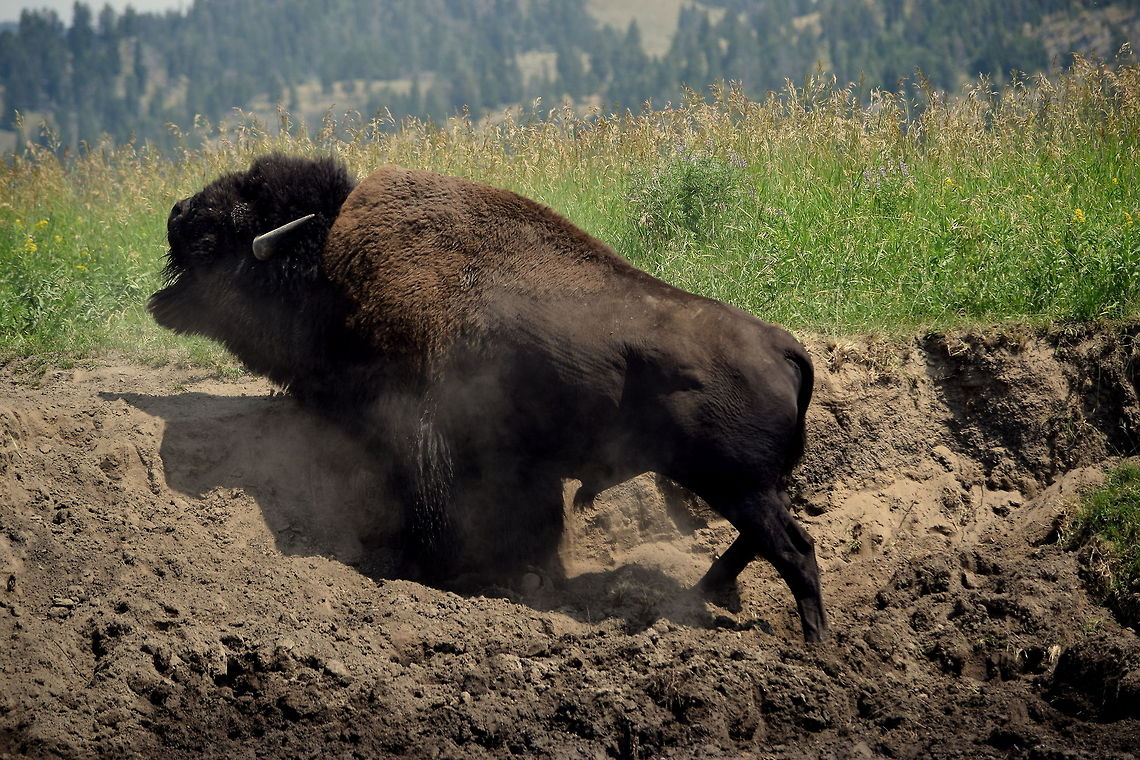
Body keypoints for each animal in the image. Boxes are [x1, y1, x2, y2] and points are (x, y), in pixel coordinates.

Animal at [149, 153, 827, 642]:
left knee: (793, 549)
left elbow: (433, 511)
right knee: (763, 541)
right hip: (745, 487)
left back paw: (811, 643)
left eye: (227, 227)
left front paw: (436, 575)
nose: (176, 211)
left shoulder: (425, 440)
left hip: (736, 485)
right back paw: (708, 595)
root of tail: (783, 346)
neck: (329, 267)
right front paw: (531, 576)